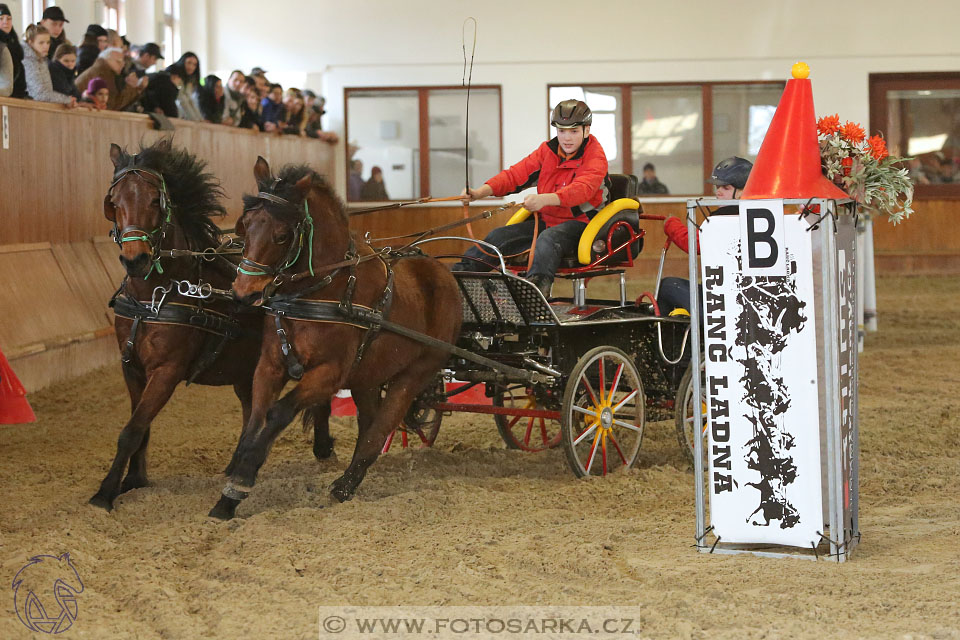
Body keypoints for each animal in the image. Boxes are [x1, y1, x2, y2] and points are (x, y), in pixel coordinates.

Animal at [90, 139, 336, 510]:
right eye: (114, 203)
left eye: (154, 200)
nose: (136, 260)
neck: (154, 297)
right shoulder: (131, 367)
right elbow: (140, 427)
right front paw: (134, 479)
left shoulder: (167, 370)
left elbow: (131, 430)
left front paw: (104, 494)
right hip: (246, 369)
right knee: (251, 410)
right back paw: (237, 464)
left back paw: (322, 447)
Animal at [209, 156, 462, 520]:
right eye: (244, 226)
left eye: (282, 234)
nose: (245, 294)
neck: (322, 290)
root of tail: (444, 273)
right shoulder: (269, 366)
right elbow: (255, 418)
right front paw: (230, 489)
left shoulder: (329, 374)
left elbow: (277, 413)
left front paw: (242, 480)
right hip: (368, 375)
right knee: (369, 422)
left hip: (416, 371)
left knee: (380, 428)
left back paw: (343, 486)